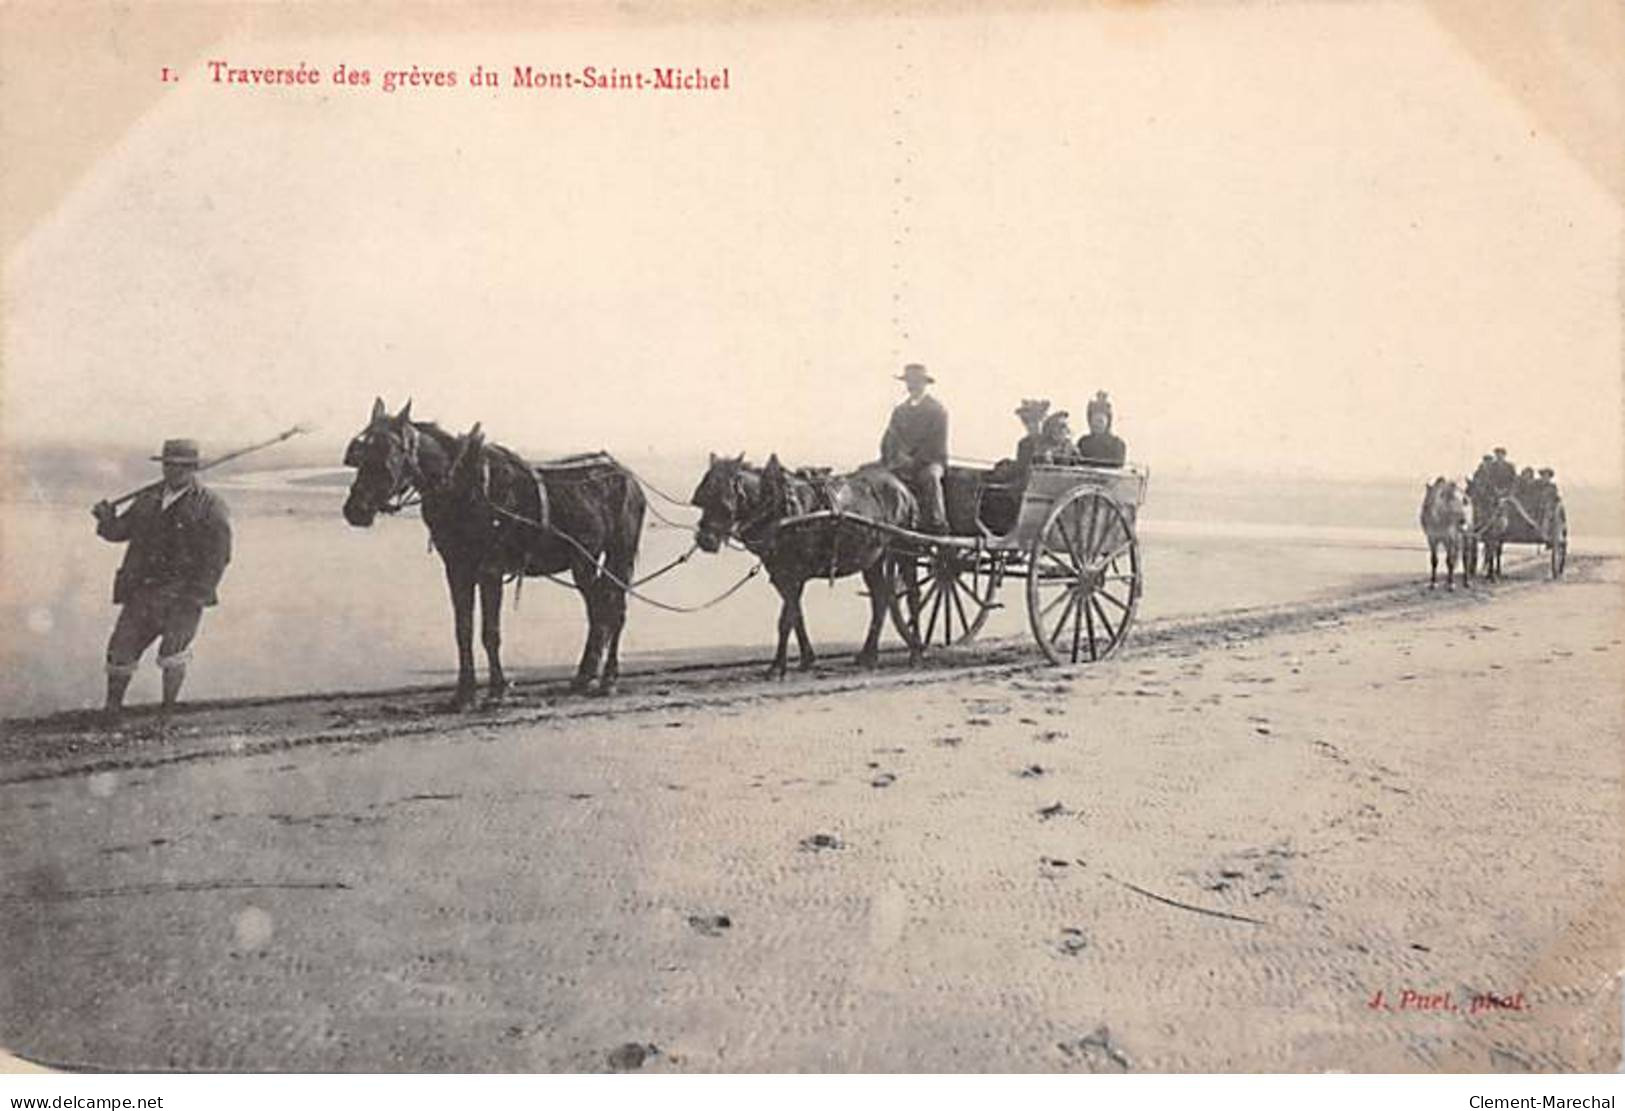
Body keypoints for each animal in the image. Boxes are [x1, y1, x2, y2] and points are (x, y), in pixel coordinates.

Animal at [344, 399, 646, 701]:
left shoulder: (491, 569)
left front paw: (497, 690)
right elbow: (463, 630)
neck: (465, 486)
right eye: (361, 452)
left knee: (615, 609)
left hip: (620, 554)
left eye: (389, 452)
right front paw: (464, 693)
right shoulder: (457, 568)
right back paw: (584, 676)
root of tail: (627, 475)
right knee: (599, 610)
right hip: (584, 561)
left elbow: (490, 632)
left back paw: (609, 678)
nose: (355, 510)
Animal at [689, 451, 923, 675]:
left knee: (912, 594)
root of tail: (902, 487)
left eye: (724, 501)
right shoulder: (780, 575)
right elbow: (796, 616)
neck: (780, 509)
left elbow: (785, 620)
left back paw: (916, 651)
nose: (705, 540)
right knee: (881, 598)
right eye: (703, 498)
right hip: (872, 559)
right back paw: (869, 655)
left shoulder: (796, 574)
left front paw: (777, 666)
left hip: (905, 549)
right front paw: (807, 659)